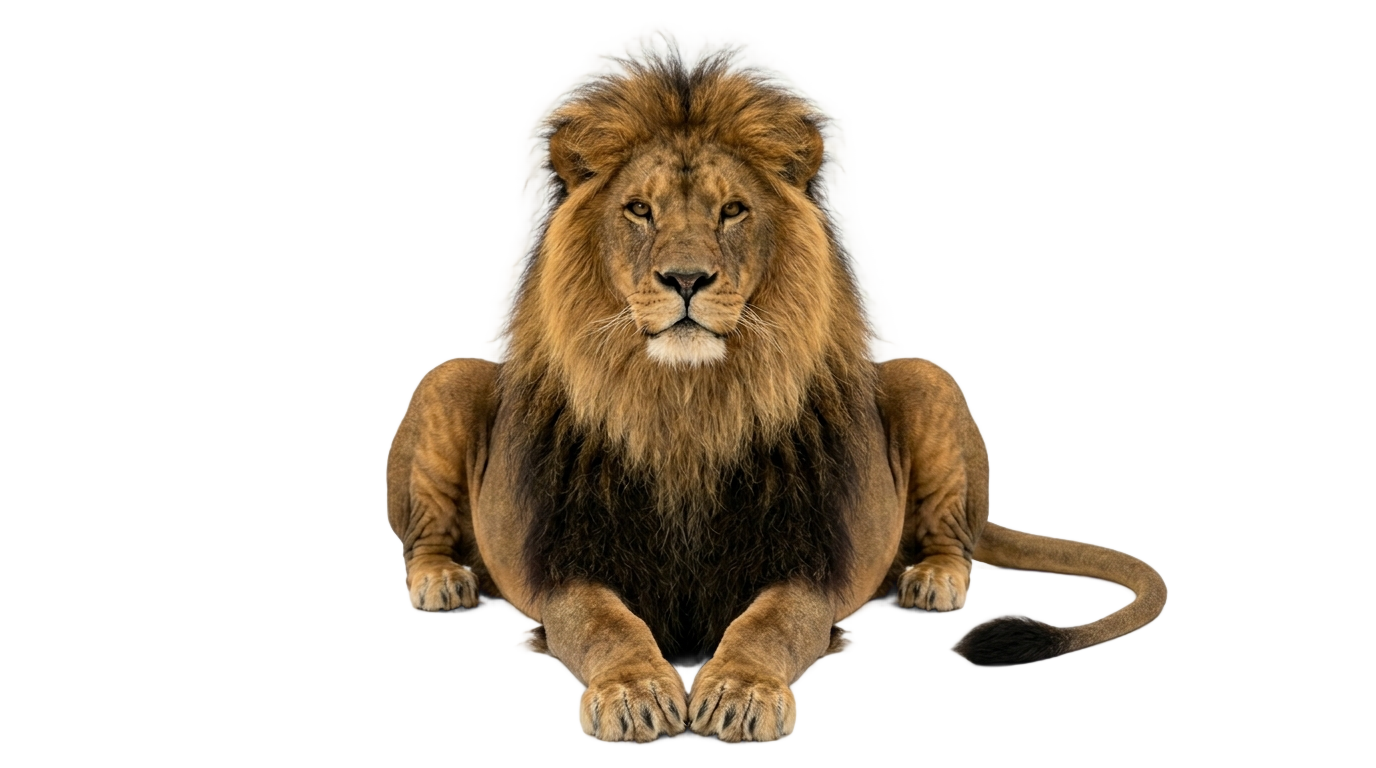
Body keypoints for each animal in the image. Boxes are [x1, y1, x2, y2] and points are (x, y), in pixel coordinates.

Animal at [386, 45, 1165, 742]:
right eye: (638, 209)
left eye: (733, 210)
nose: (687, 279)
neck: (685, 410)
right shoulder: (567, 568)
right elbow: (606, 625)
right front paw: (637, 693)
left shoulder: (805, 565)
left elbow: (770, 625)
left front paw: (737, 694)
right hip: (446, 380)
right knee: (425, 533)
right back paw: (444, 580)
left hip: (925, 378)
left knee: (953, 532)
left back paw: (931, 579)